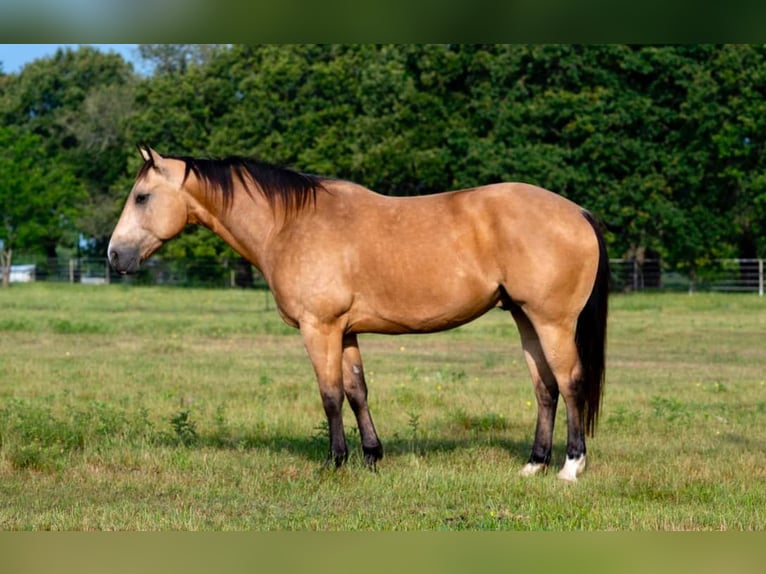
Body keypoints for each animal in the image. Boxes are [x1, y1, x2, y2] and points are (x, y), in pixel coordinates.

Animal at [108, 146, 608, 482]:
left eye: (141, 197)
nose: (114, 255)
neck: (290, 225)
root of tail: (578, 212)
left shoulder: (319, 328)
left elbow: (329, 395)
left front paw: (335, 461)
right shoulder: (345, 331)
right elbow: (356, 391)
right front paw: (371, 456)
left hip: (552, 322)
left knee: (569, 383)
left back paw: (570, 466)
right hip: (525, 319)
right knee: (544, 389)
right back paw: (533, 464)